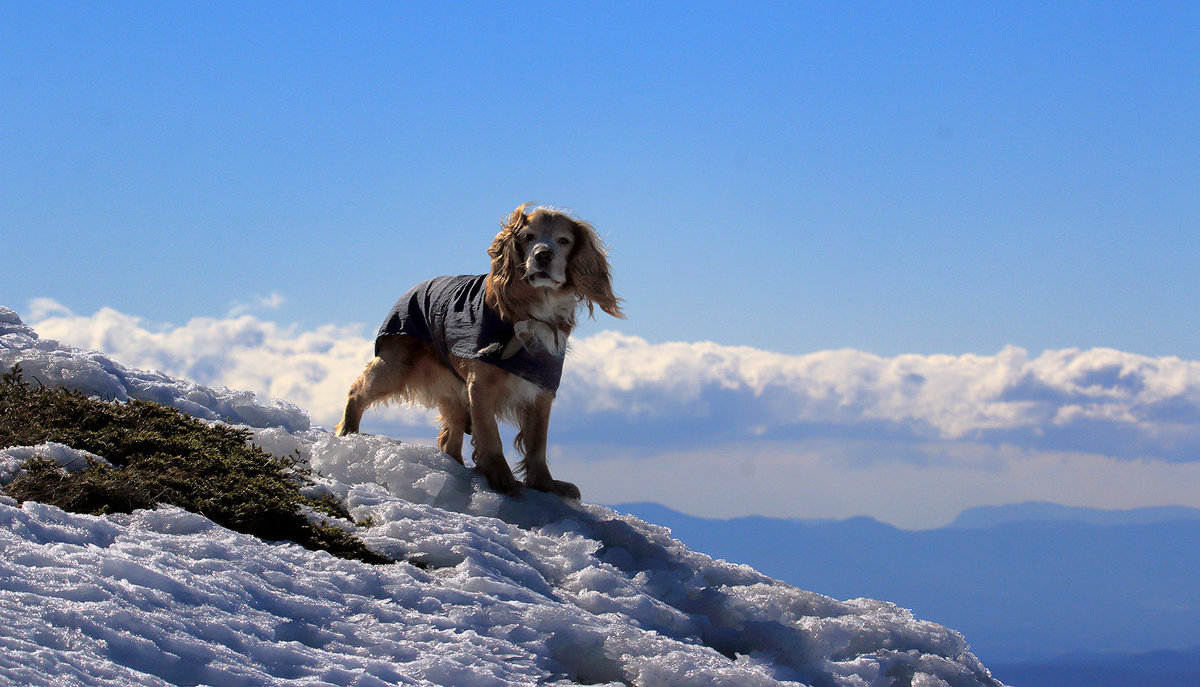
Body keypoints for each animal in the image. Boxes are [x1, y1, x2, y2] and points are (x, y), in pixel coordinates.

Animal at [333, 204, 624, 499]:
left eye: (564, 240)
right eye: (528, 237)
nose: (543, 255)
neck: (534, 312)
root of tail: (413, 288)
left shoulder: (541, 388)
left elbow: (537, 443)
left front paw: (545, 484)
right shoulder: (480, 385)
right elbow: (491, 436)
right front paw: (502, 479)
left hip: (452, 391)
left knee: (449, 440)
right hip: (396, 364)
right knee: (357, 390)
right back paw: (347, 432)